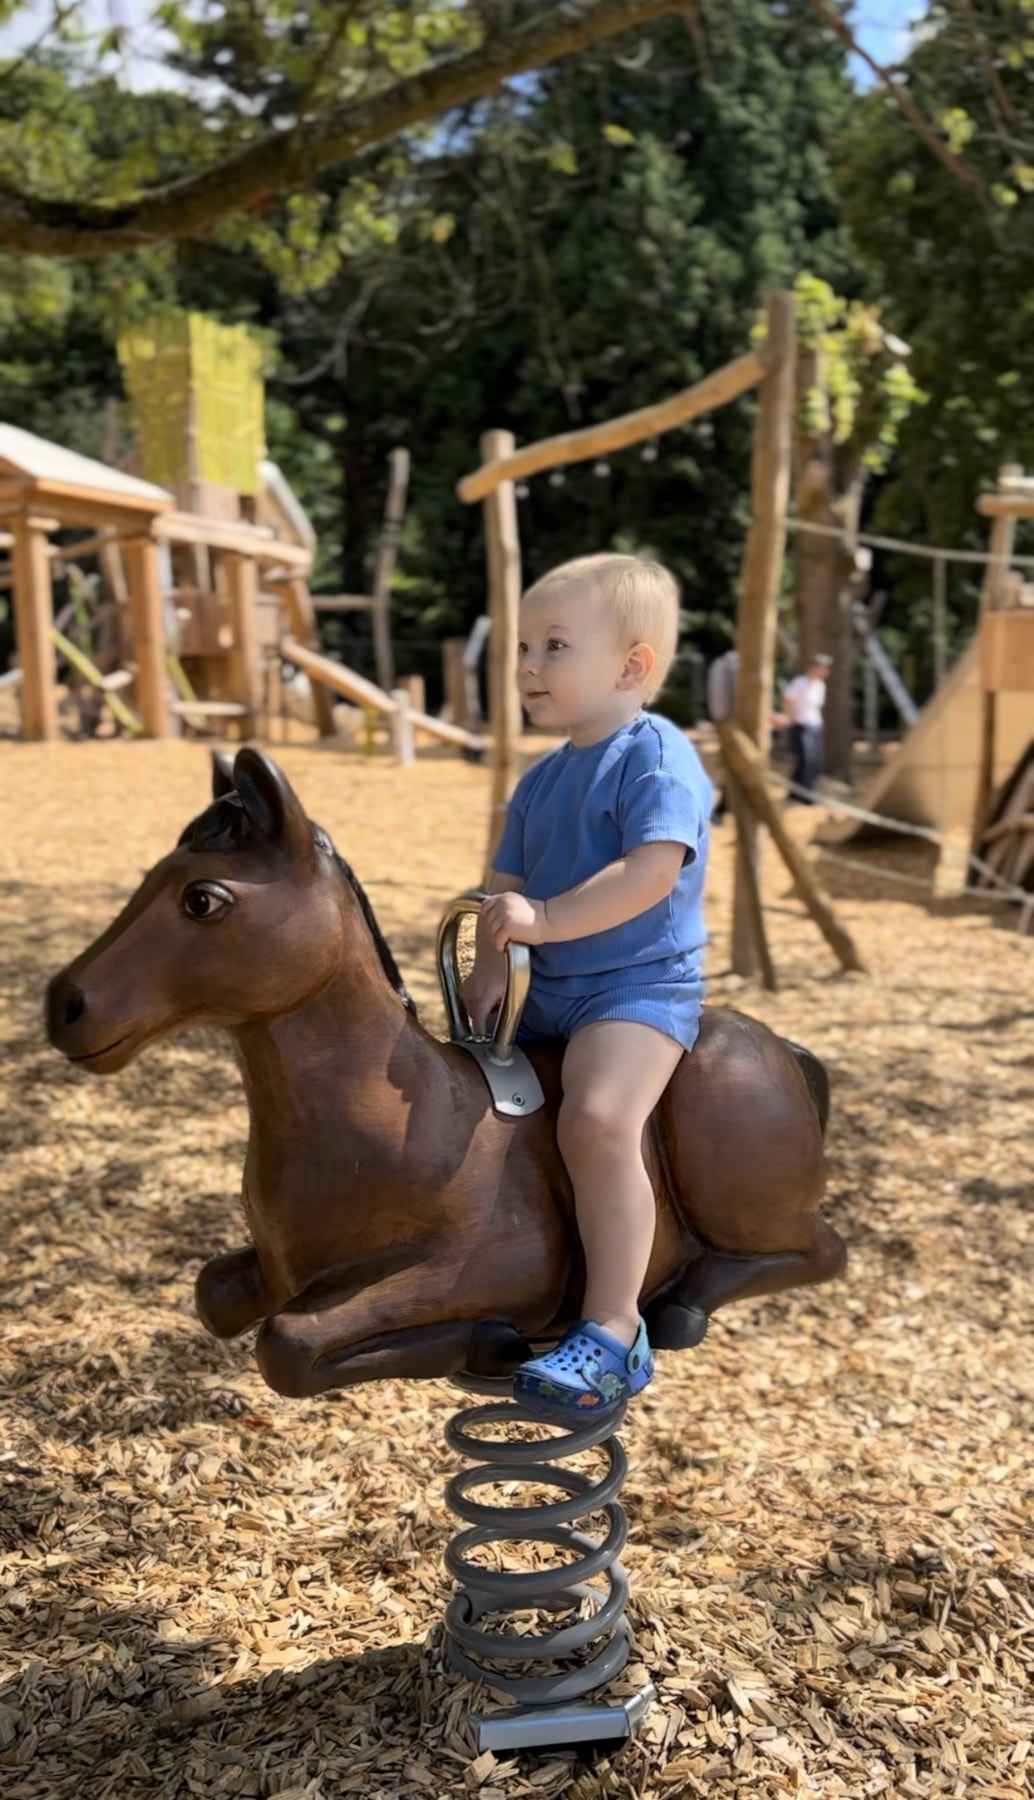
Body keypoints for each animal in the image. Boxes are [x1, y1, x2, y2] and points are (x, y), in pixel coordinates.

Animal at [45, 748, 846, 1399]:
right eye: (151, 876)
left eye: (203, 899)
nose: (64, 1003)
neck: (399, 1118)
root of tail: (786, 1049)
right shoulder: (276, 1266)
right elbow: (215, 1295)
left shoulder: (501, 1265)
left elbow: (288, 1343)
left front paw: (490, 1341)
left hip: (735, 1176)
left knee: (820, 1250)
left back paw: (678, 1305)